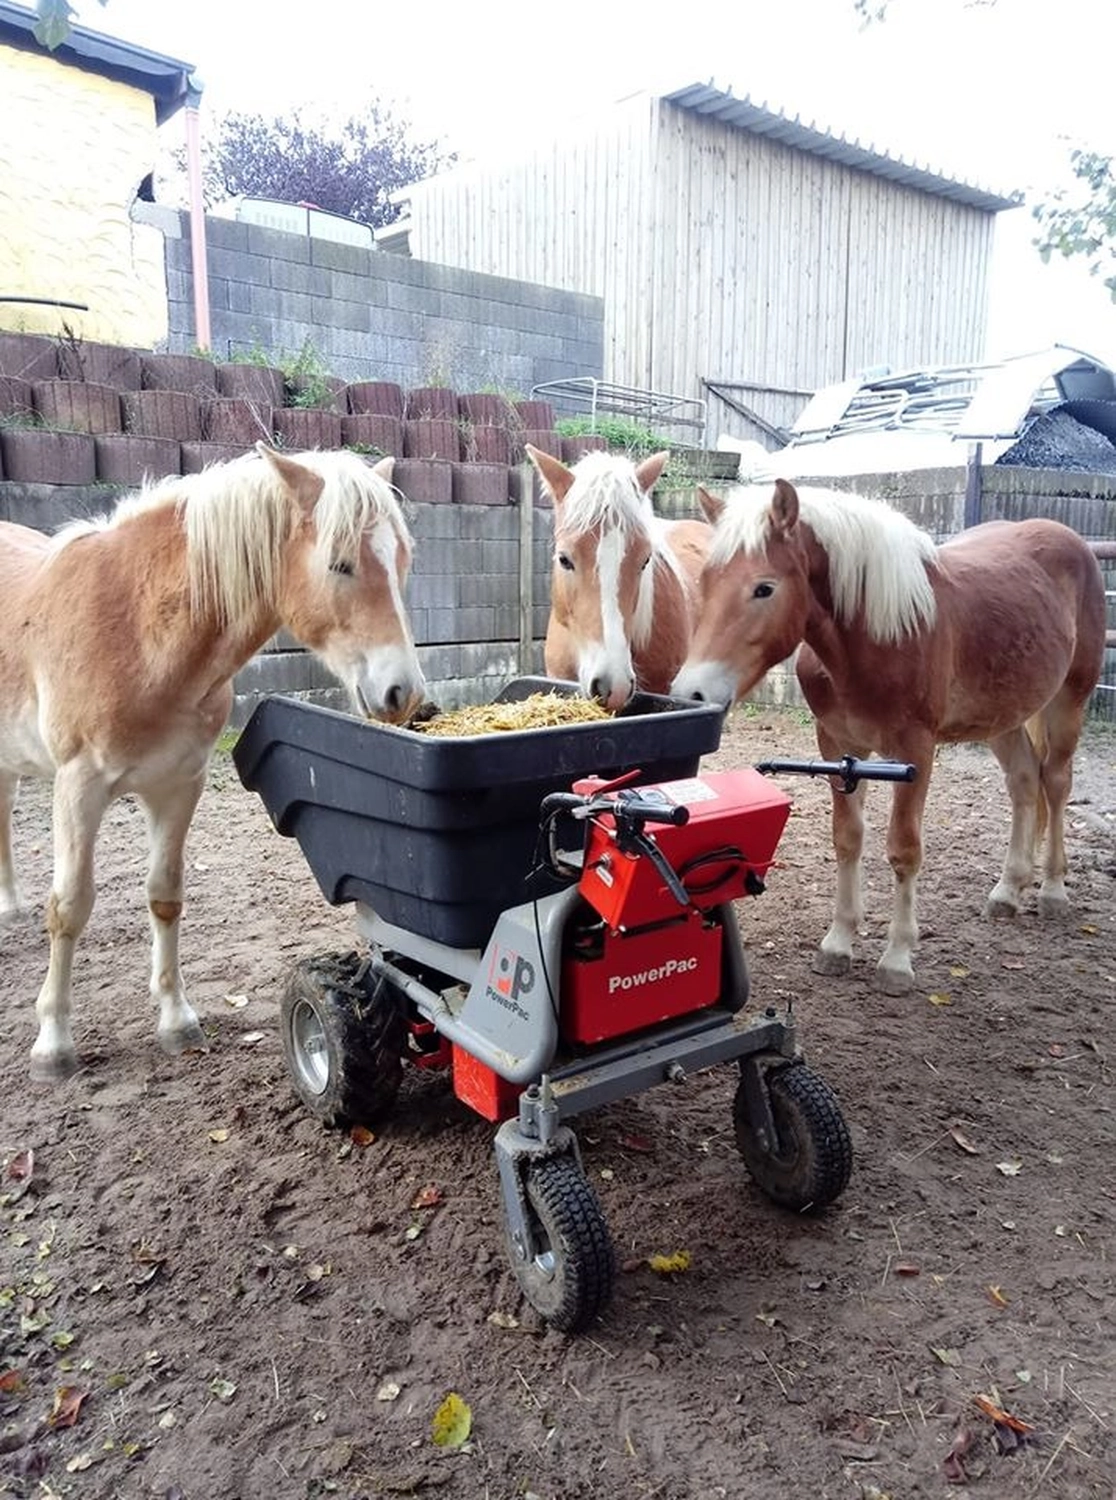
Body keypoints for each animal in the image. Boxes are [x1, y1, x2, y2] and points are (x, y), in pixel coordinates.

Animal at [0, 442, 425, 1081]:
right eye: (341, 564)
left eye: (402, 561)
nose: (403, 693)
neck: (135, 627)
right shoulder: (79, 787)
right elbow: (70, 907)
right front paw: (53, 1044)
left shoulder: (179, 785)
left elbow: (165, 895)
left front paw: (177, 1021)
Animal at [672, 478, 1107, 993]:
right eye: (705, 583)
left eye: (764, 588)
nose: (691, 693)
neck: (875, 638)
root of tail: (1070, 539)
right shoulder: (837, 747)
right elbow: (847, 839)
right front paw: (838, 943)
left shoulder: (915, 752)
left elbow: (903, 849)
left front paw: (897, 958)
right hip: (1003, 715)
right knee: (1024, 782)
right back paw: (1007, 891)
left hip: (1068, 700)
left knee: (1055, 784)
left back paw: (1054, 891)